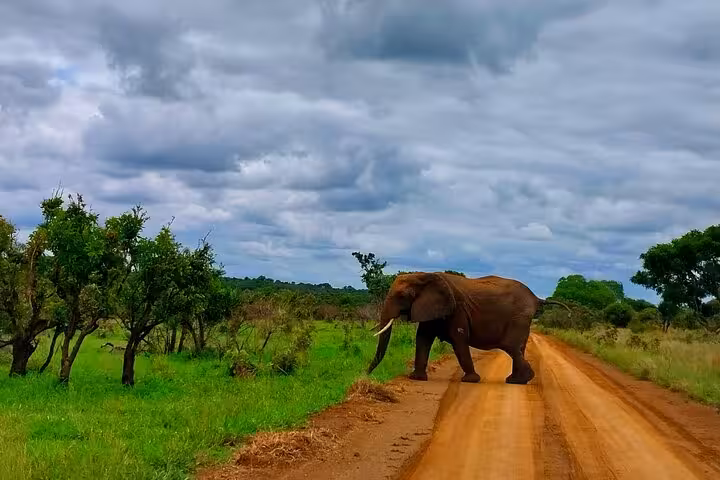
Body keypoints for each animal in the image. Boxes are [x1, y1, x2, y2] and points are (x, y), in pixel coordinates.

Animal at [366, 272, 571, 384]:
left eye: (403, 295)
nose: (365, 374)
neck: (425, 275)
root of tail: (536, 298)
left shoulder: (457, 309)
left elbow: (459, 340)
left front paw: (470, 380)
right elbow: (423, 338)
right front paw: (416, 378)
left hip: (518, 318)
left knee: (511, 347)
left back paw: (522, 379)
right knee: (518, 348)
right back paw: (515, 381)